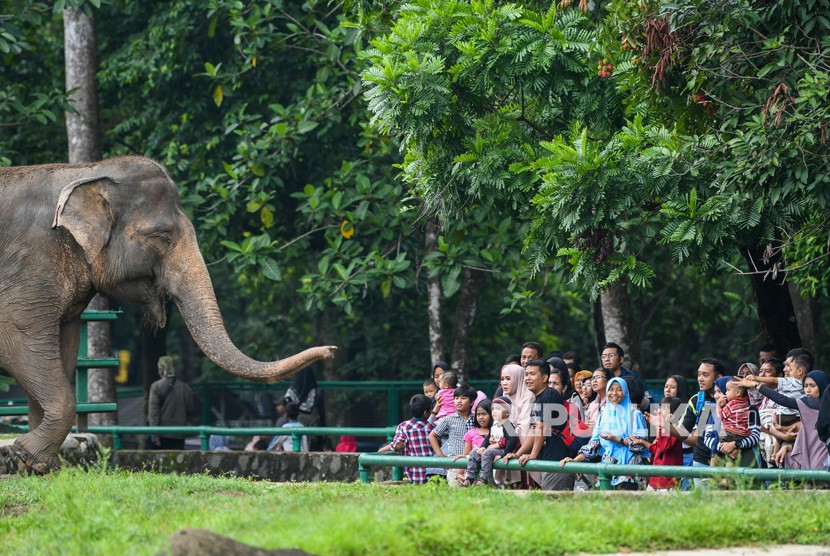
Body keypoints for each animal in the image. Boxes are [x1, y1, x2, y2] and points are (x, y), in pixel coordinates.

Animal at [0, 156, 338, 474]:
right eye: (162, 236)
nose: (331, 350)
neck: (86, 171)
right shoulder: (29, 268)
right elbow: (19, 344)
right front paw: (25, 452)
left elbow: (61, 352)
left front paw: (36, 466)